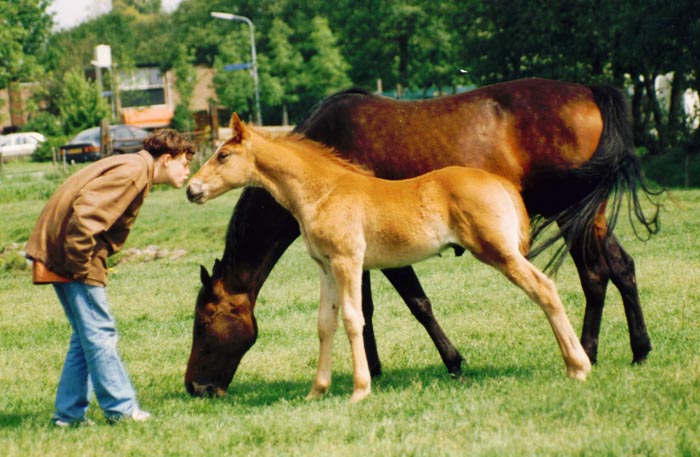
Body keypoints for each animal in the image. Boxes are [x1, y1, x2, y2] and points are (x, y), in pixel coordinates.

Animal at [185, 77, 656, 396]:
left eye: (204, 321)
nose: (196, 387)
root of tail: (591, 91)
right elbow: (358, 312)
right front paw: (366, 372)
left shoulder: (375, 255)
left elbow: (412, 304)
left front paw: (446, 363)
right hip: (586, 216)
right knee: (619, 268)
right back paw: (637, 349)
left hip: (568, 217)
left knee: (589, 276)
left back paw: (586, 354)